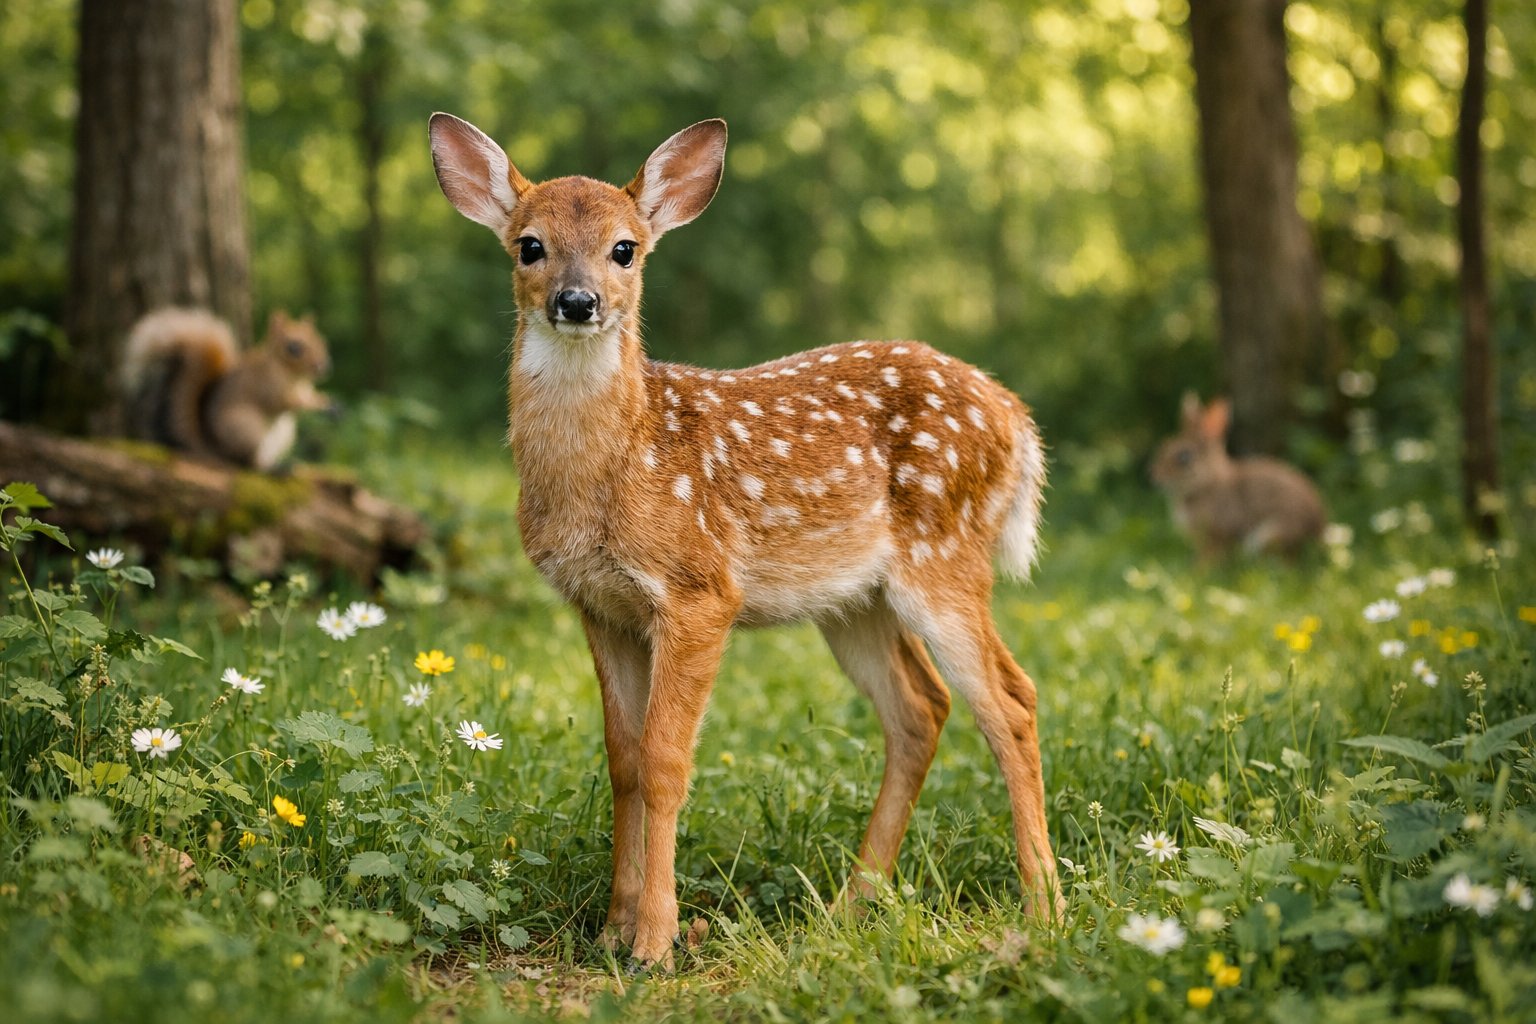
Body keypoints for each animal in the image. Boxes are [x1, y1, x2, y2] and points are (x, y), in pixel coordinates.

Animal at [429, 113, 1059, 968]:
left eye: (625, 248)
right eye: (530, 245)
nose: (578, 301)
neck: (616, 467)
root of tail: (1017, 419)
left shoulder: (699, 590)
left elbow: (666, 761)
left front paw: (654, 943)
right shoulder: (600, 605)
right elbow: (623, 761)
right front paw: (611, 927)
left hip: (945, 557)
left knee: (1010, 700)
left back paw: (1043, 910)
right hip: (854, 600)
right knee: (920, 708)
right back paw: (848, 907)